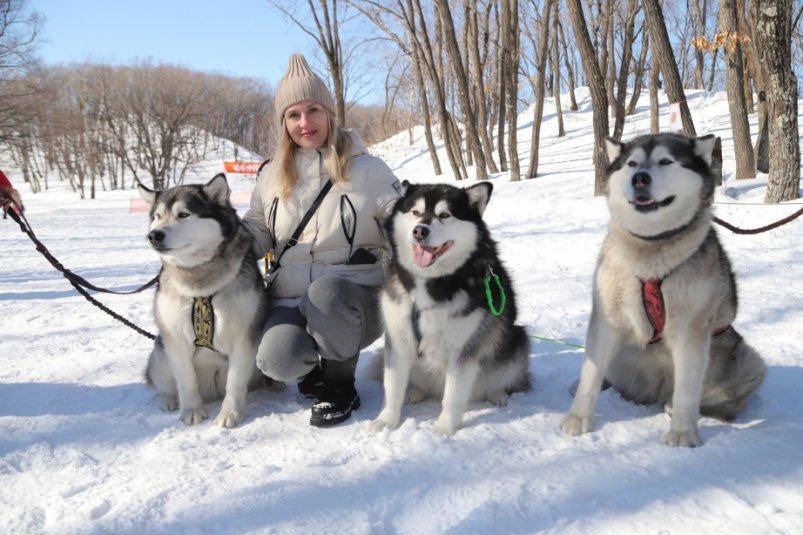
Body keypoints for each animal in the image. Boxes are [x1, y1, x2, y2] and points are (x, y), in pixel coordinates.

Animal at [141, 175, 270, 428]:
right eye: (157, 216)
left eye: (183, 214)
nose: (154, 235)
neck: (200, 284)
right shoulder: (176, 340)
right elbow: (185, 380)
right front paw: (192, 411)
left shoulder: (244, 338)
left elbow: (235, 382)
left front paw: (230, 414)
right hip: (160, 354)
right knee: (164, 384)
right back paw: (168, 399)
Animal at [370, 182, 532, 438]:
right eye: (415, 212)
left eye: (444, 215)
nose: (419, 231)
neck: (430, 282)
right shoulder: (398, 339)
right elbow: (393, 386)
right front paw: (387, 421)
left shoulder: (464, 348)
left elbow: (454, 395)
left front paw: (445, 428)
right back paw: (414, 391)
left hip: (517, 340)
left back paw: (496, 393)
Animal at [564, 134, 768, 448]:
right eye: (632, 163)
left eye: (665, 161)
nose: (639, 178)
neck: (650, 250)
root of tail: (656, 391)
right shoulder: (606, 320)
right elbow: (591, 372)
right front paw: (578, 418)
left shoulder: (690, 329)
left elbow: (687, 389)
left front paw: (683, 433)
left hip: (748, 361)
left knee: (721, 397)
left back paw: (688, 405)